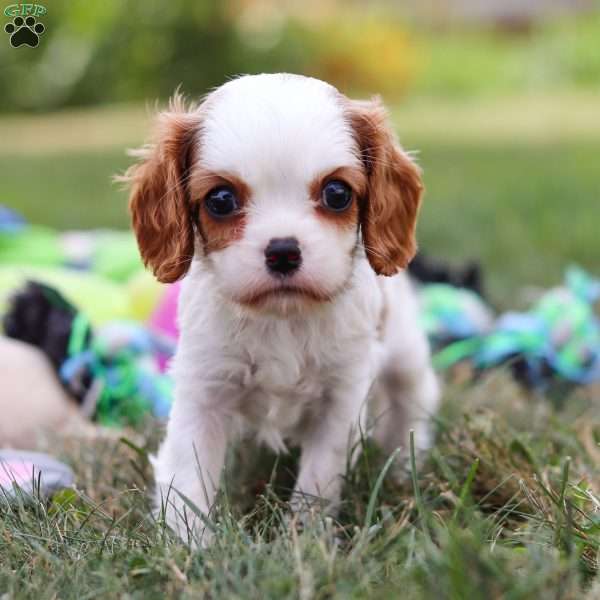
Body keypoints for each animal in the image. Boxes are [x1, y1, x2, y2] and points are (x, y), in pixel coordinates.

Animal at [124, 72, 438, 540]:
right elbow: (188, 476)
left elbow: (318, 478)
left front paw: (305, 538)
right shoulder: (204, 391)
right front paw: (188, 545)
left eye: (337, 193)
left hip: (406, 357)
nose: (284, 251)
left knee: (410, 405)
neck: (282, 319)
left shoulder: (341, 399)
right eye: (221, 200)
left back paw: (403, 468)